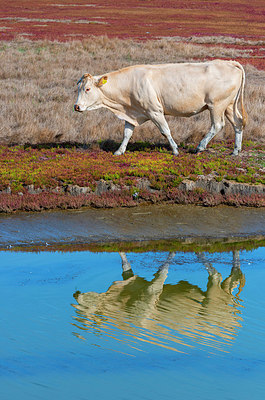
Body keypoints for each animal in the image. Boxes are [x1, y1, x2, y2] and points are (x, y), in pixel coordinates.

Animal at [71, 252, 243, 352]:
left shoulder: (151, 291)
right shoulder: (132, 280)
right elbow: (125, 264)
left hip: (213, 299)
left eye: (84, 311)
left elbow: (163, 269)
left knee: (216, 275)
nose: (75, 295)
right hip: (223, 293)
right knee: (230, 279)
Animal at [73, 60, 246, 155]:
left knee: (217, 125)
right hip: (229, 106)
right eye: (78, 88)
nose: (76, 106)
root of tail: (230, 63)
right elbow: (127, 133)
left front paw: (175, 150)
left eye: (87, 89)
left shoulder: (154, 111)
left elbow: (165, 130)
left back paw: (200, 147)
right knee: (238, 123)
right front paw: (119, 151)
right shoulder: (132, 113)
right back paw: (236, 150)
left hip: (216, 105)